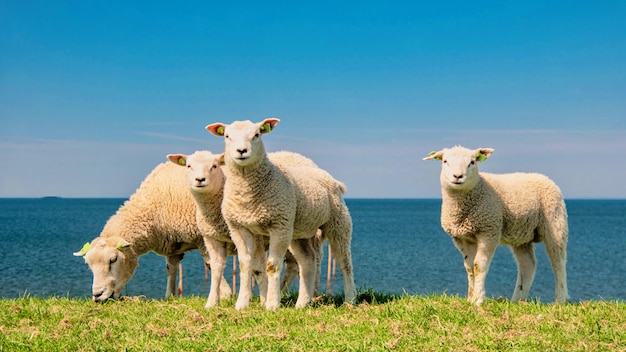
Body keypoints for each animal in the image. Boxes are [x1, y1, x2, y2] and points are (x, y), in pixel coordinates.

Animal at [72, 161, 230, 302]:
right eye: (88, 264)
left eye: (113, 260)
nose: (97, 295)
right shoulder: (174, 245)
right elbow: (171, 269)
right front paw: (169, 296)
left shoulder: (203, 237)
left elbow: (211, 264)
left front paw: (225, 295)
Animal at [165, 151, 316, 308]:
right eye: (189, 166)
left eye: (215, 166)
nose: (200, 180)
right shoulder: (211, 237)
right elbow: (216, 269)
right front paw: (212, 302)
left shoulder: (256, 238)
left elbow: (258, 268)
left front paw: (263, 300)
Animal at [207, 119, 356, 310]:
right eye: (227, 136)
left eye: (257, 135)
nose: (241, 151)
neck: (247, 193)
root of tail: (330, 178)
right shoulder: (238, 227)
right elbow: (244, 264)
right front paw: (242, 304)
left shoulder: (279, 225)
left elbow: (272, 266)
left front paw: (272, 304)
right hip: (299, 231)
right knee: (308, 262)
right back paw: (302, 303)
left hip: (338, 222)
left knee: (345, 262)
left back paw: (350, 299)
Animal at [422, 146, 568, 306]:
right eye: (445, 161)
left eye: (472, 162)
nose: (458, 176)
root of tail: (544, 177)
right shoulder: (462, 238)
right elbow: (469, 267)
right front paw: (470, 298)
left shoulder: (489, 231)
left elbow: (479, 265)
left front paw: (478, 299)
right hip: (521, 235)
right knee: (528, 264)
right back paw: (517, 300)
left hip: (555, 224)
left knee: (558, 262)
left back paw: (561, 299)